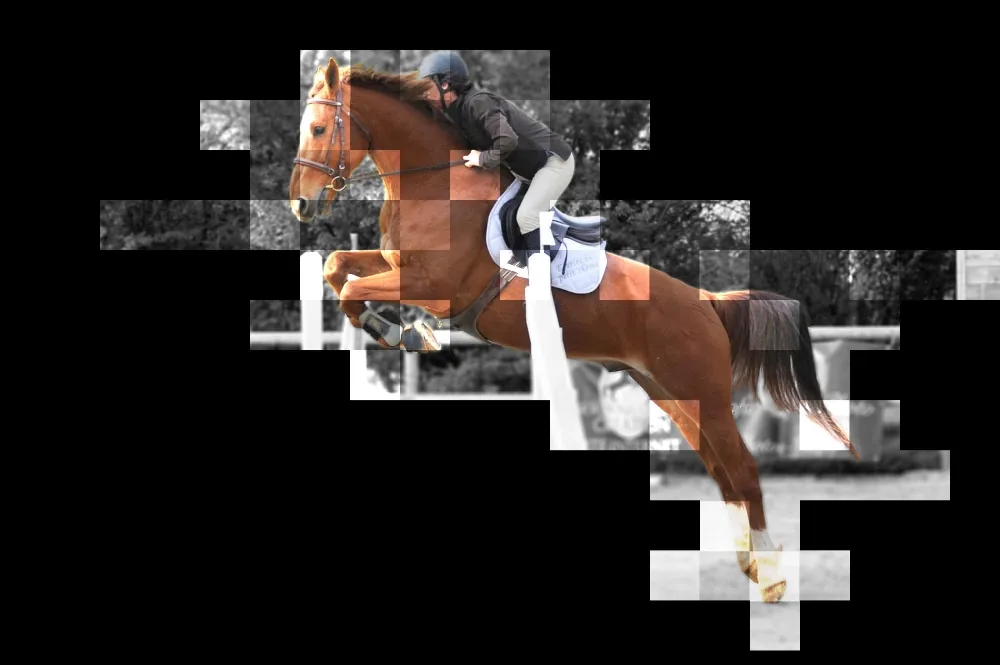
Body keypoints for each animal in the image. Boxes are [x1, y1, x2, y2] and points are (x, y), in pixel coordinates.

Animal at [289, 57, 859, 603]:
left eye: (317, 128)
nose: (300, 203)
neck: (433, 185)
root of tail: (707, 303)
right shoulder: (393, 265)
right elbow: (337, 268)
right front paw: (393, 329)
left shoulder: (433, 284)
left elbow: (350, 290)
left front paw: (400, 333)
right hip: (672, 395)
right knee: (722, 471)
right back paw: (750, 563)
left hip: (702, 392)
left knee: (742, 469)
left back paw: (771, 578)